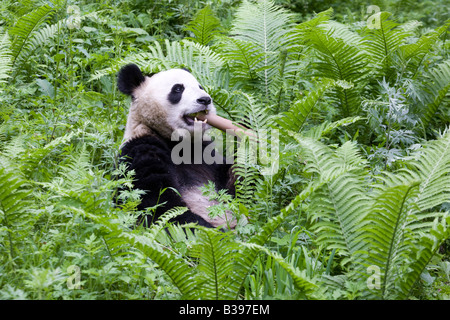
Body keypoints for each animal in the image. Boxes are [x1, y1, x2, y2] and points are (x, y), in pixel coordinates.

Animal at [117, 63, 236, 229]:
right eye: (178, 89)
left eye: (200, 86)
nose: (205, 99)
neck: (177, 140)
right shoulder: (140, 149)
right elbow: (159, 204)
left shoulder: (204, 153)